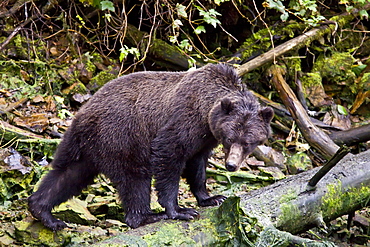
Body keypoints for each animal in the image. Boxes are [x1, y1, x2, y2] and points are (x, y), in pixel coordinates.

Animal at [28, 63, 272, 230]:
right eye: (231, 138)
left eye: (248, 142)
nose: (231, 165)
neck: (206, 114)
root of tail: (83, 114)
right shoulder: (182, 121)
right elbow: (169, 157)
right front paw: (179, 210)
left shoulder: (204, 140)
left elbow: (197, 165)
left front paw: (211, 197)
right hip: (122, 136)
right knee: (135, 178)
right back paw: (147, 215)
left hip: (85, 145)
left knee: (67, 174)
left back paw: (45, 213)